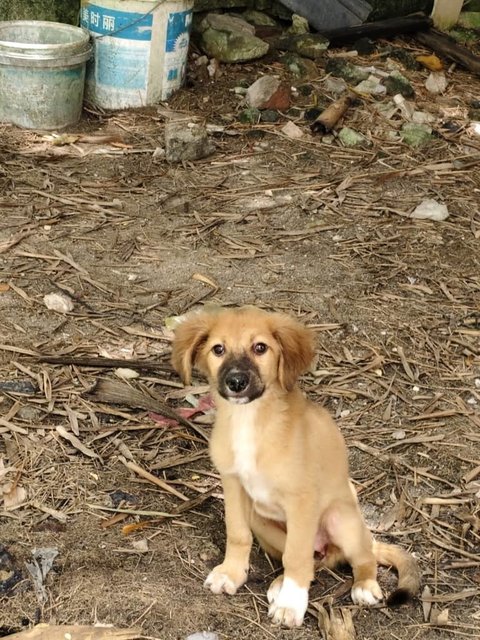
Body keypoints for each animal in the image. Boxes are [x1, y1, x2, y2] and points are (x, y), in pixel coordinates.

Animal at [172, 308, 420, 628]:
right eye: (218, 349)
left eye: (260, 348)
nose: (236, 382)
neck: (251, 421)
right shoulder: (233, 484)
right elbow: (238, 534)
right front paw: (231, 573)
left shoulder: (302, 500)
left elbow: (296, 556)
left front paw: (291, 604)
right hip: (262, 521)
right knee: (313, 561)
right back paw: (280, 584)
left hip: (342, 520)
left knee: (362, 556)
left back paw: (363, 585)